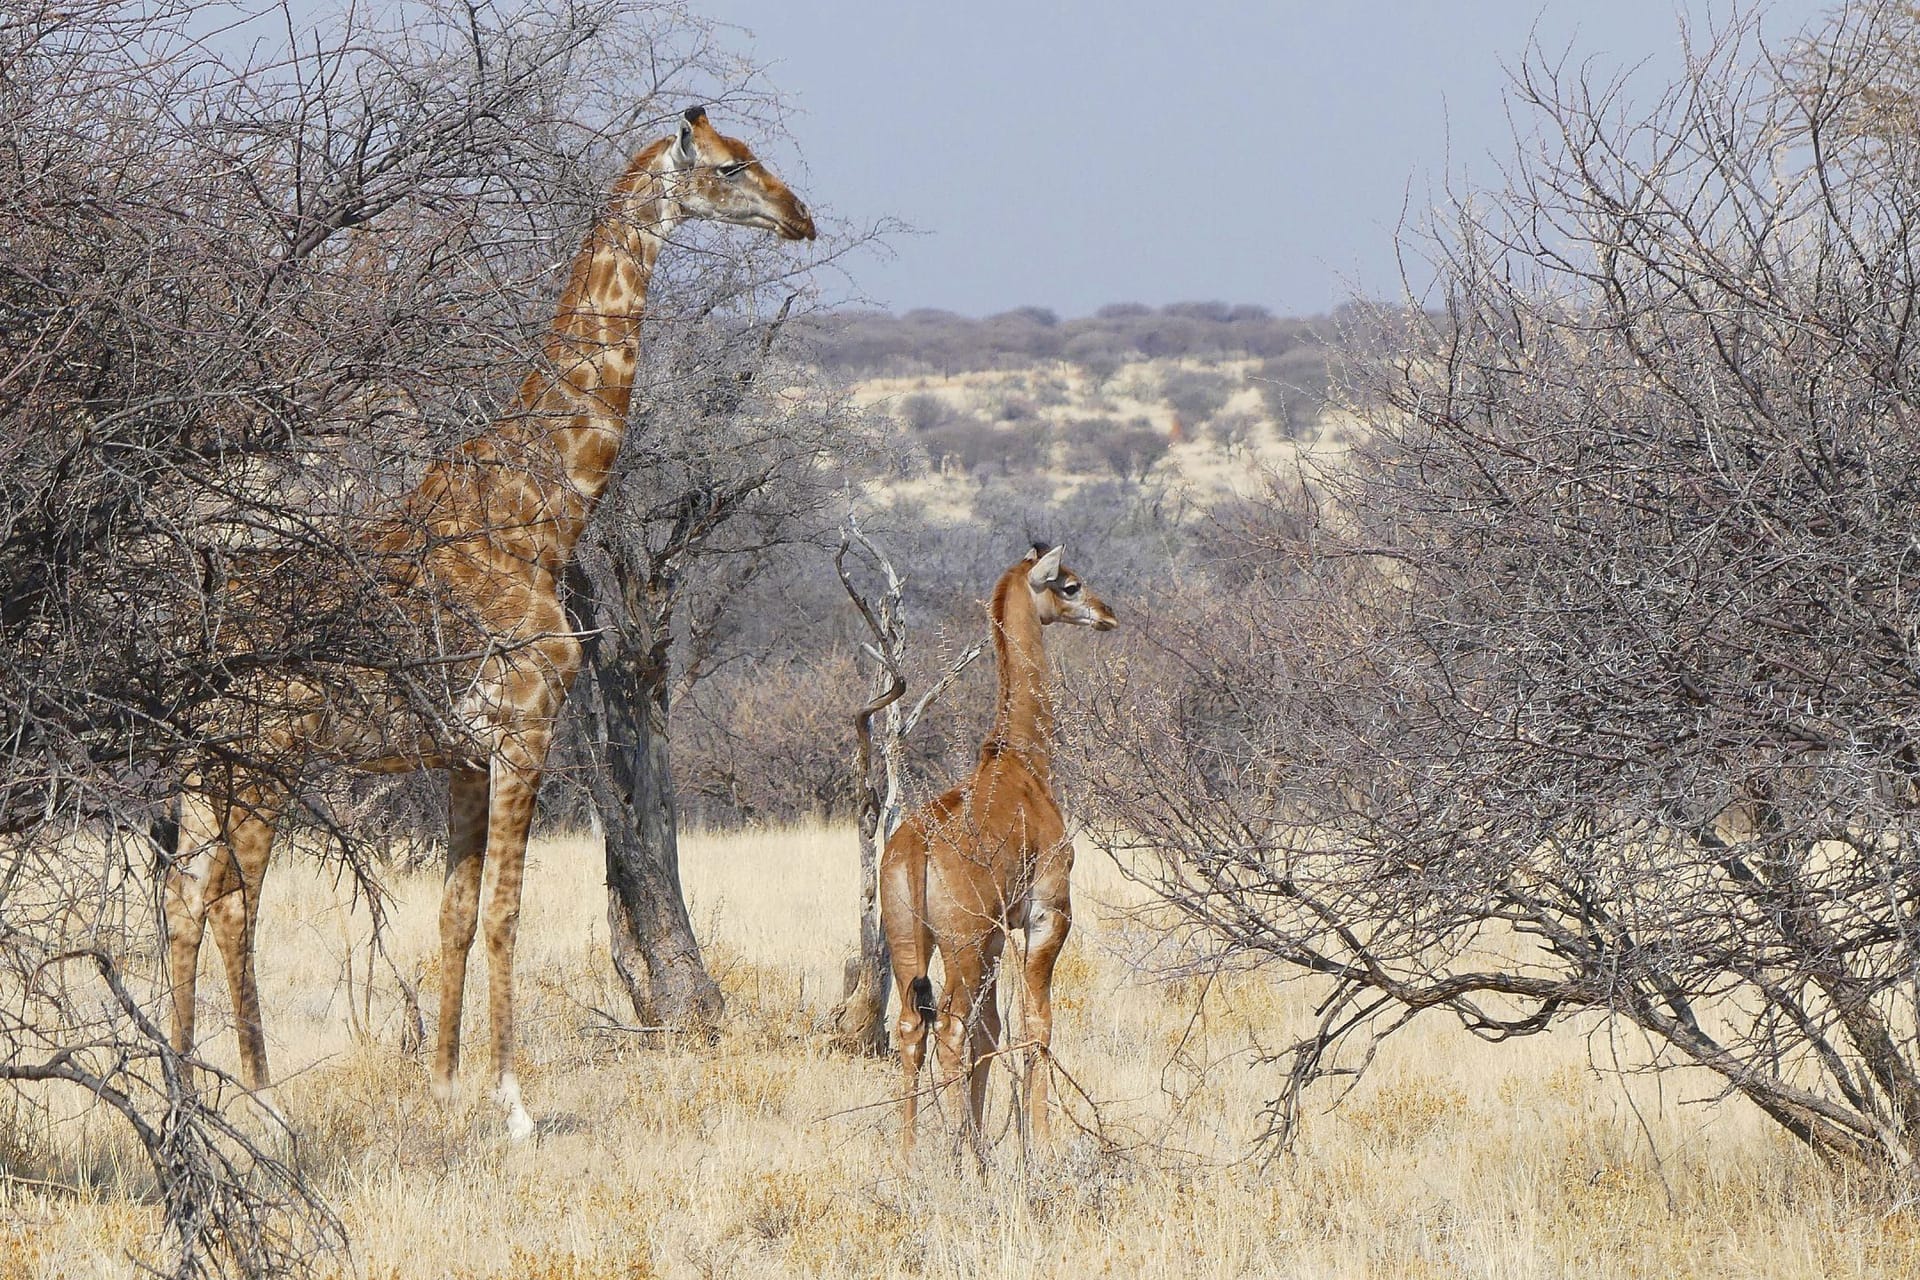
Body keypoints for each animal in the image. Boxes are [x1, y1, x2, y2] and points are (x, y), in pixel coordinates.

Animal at [167, 105, 817, 1136]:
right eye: (730, 166)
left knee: (184, 893)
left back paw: (187, 1100)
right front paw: (512, 1105)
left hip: (208, 762)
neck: (539, 515)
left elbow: (456, 913)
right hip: (265, 753)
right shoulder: (524, 730)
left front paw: (442, 1089)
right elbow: (510, 911)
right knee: (231, 900)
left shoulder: (464, 755)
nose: (802, 218)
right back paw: (264, 1108)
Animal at [879, 545, 1121, 1166]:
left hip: (913, 941)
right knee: (949, 1029)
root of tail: (916, 849)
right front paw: (1038, 1145)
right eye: (1069, 584)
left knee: (912, 1029)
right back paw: (952, 1155)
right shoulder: (1045, 914)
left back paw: (912, 1158)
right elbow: (1036, 1025)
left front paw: (982, 1139)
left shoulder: (993, 937)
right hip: (960, 945)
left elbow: (991, 1035)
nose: (1107, 614)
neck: (1023, 761)